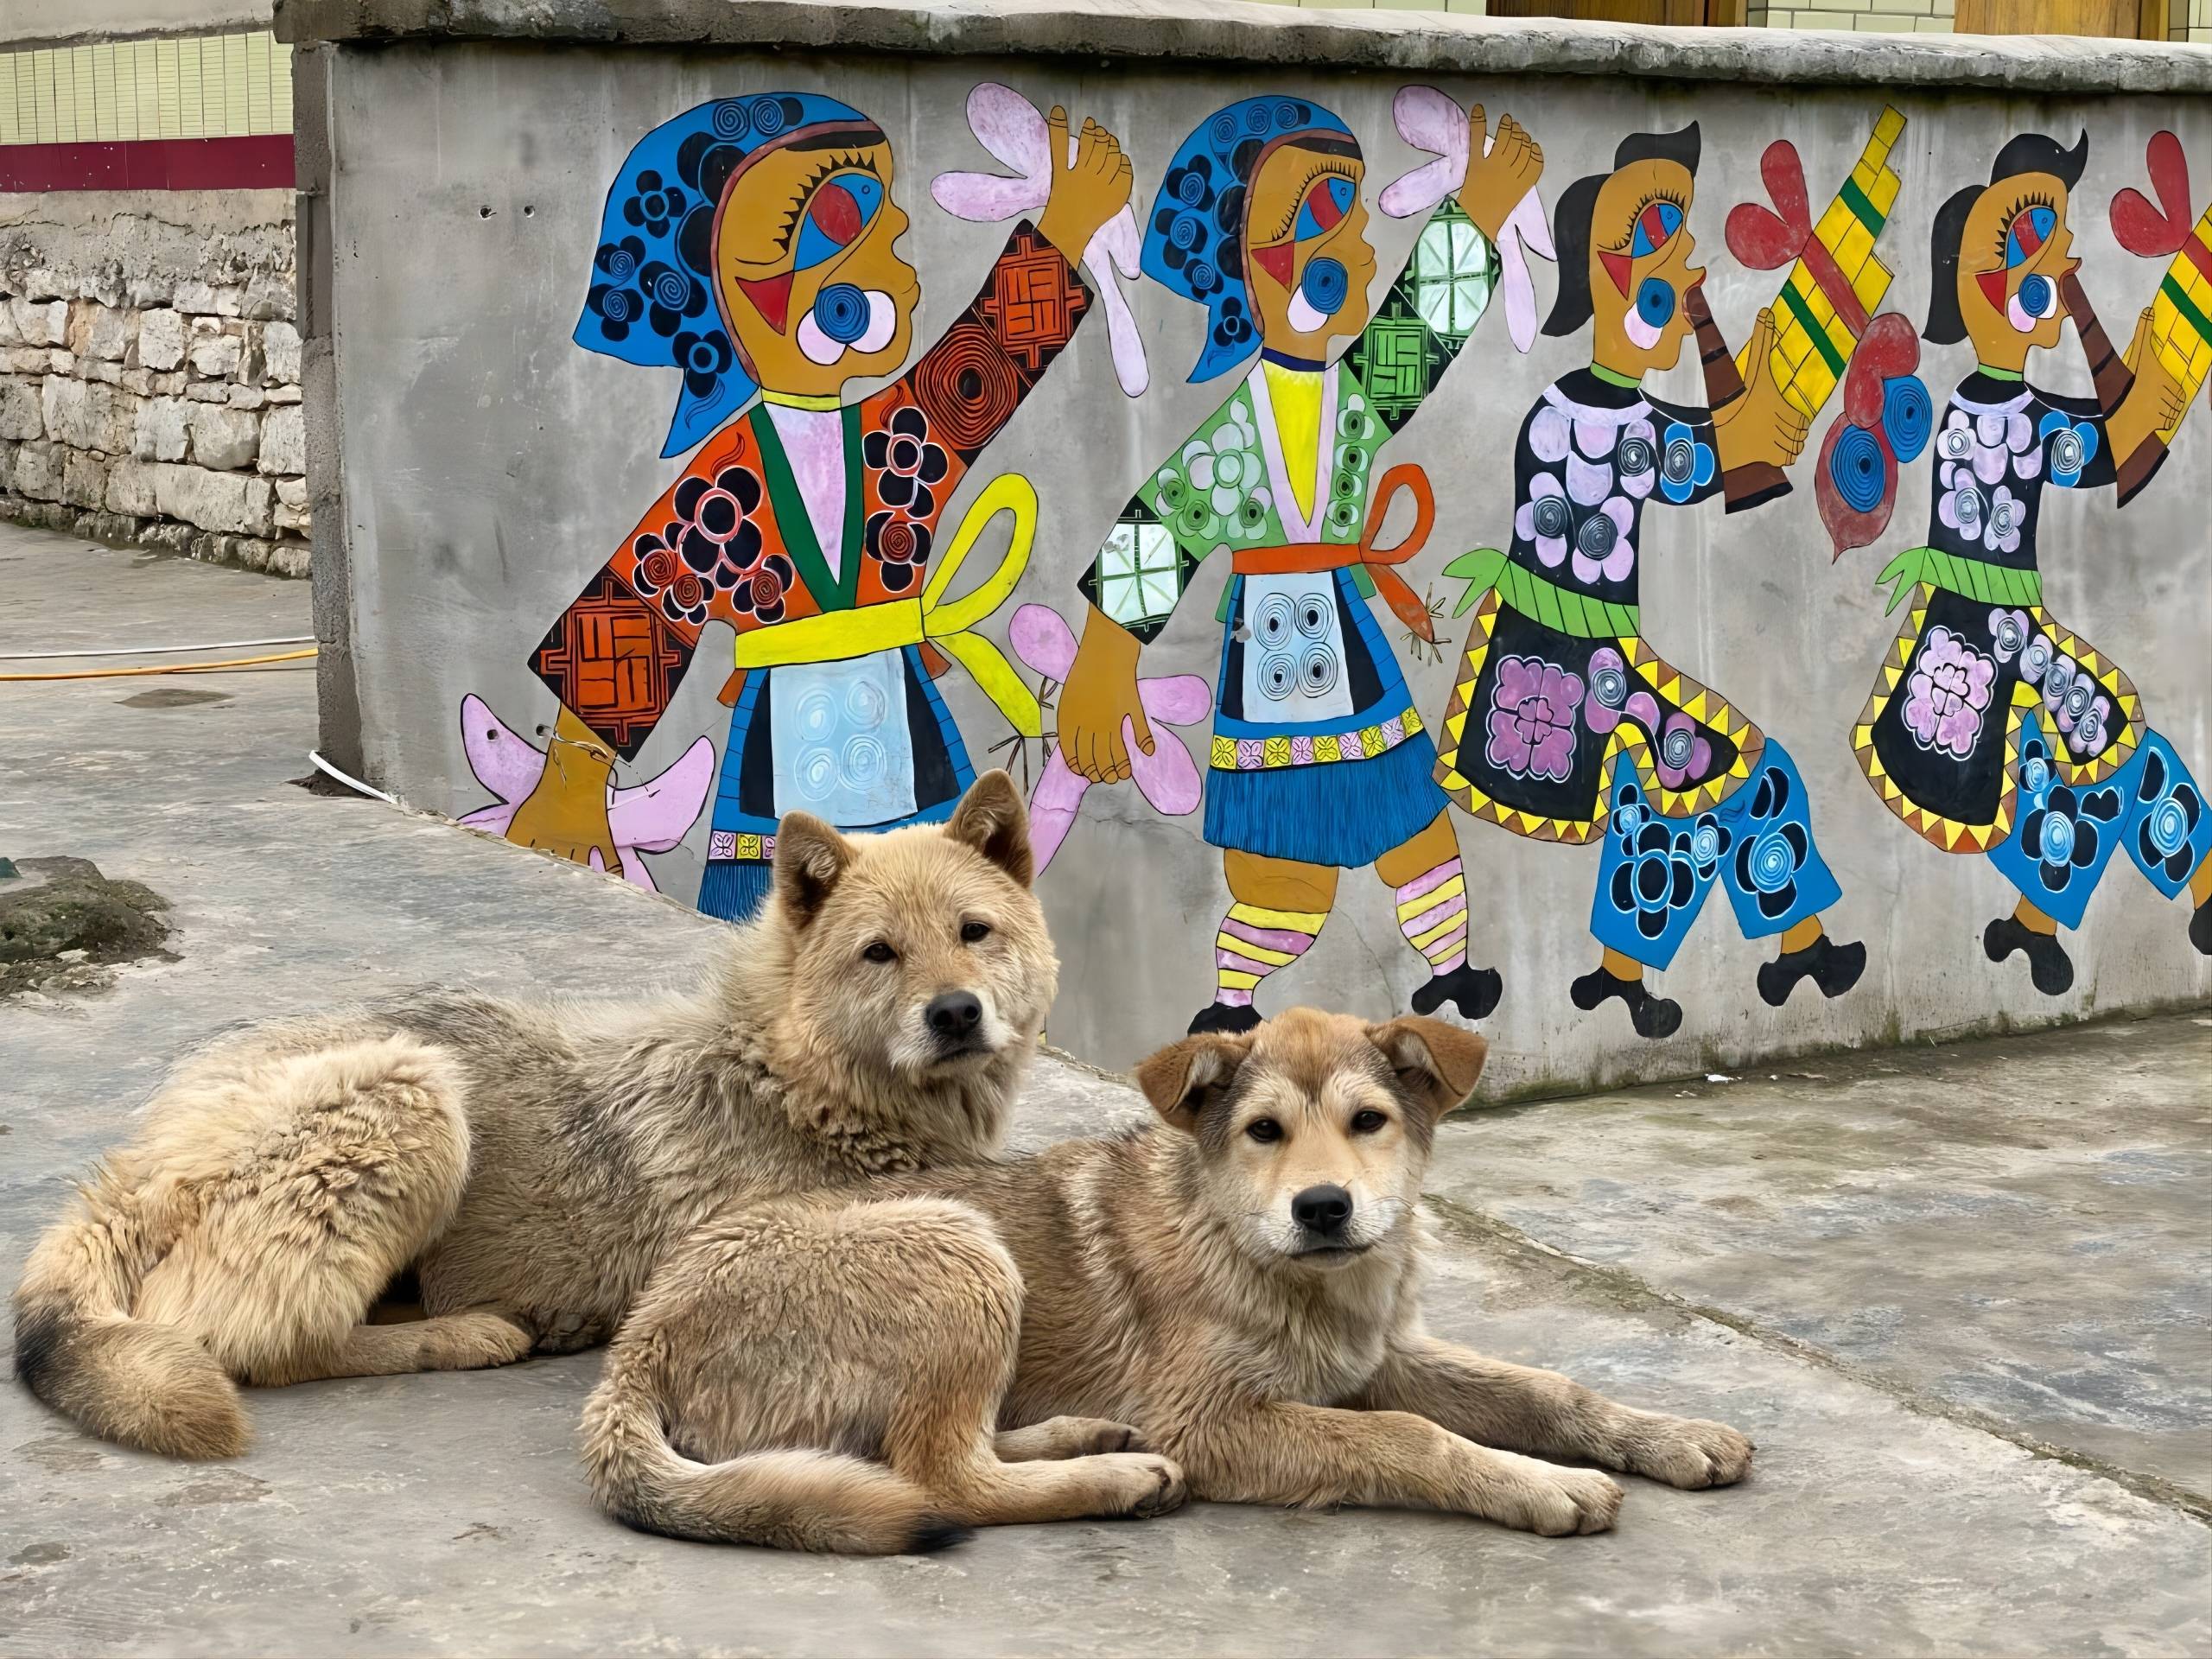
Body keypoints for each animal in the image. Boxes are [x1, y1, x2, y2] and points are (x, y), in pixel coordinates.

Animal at [13, 772, 1128, 1496]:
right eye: (879, 953)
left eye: (974, 933)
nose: (955, 1015)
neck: (798, 1077)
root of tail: (139, 1157)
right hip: (414, 1092)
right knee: (245, 1336)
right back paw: (467, 1333)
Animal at [581, 1008, 1753, 1551]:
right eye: (1262, 1131)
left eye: (1369, 1122)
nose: (1323, 1209)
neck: (1257, 1254)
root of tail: (642, 1338)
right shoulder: (1215, 1419)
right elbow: (1409, 1440)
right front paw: (1542, 1487)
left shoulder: (1382, 1357)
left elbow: (1548, 1390)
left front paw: (1669, 1434)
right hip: (961, 1247)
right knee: (939, 1476)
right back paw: (1113, 1478)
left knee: (922, 1451)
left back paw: (1085, 1436)